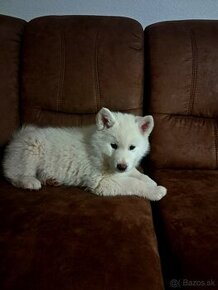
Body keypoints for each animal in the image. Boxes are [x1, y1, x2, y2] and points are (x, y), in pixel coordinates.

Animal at [2, 107, 167, 201]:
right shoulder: (100, 181)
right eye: (113, 146)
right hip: (30, 151)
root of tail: (18, 136)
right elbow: (133, 183)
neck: (99, 152)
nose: (121, 166)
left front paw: (150, 181)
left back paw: (50, 180)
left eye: (132, 147)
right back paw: (30, 182)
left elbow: (136, 174)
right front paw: (155, 191)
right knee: (13, 175)